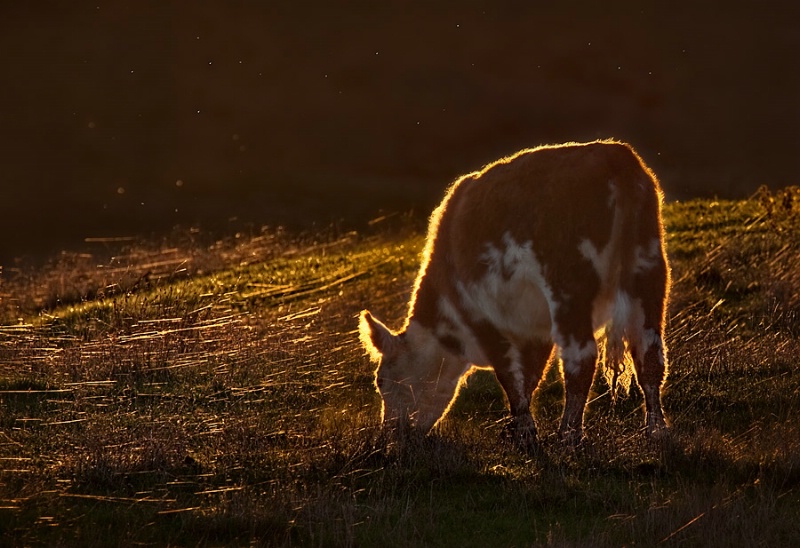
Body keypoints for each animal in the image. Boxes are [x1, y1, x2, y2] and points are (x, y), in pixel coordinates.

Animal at [358, 139, 668, 448]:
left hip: (568, 287)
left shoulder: (482, 316)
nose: (389, 435)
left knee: (580, 358)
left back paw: (568, 434)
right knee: (649, 351)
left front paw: (525, 432)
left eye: (381, 382)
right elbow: (530, 374)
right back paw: (656, 429)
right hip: (648, 270)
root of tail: (614, 153)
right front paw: (515, 428)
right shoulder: (534, 327)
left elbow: (509, 374)